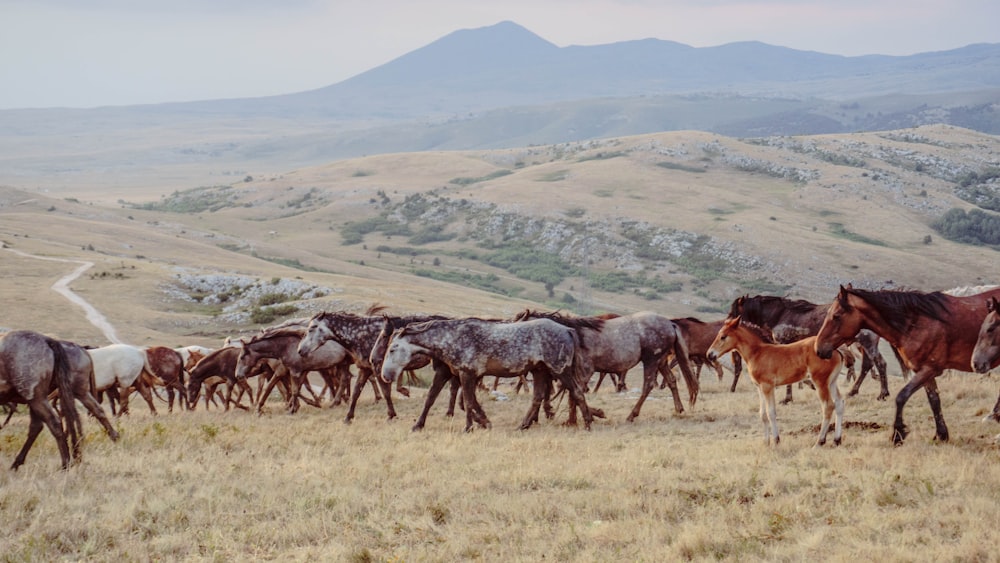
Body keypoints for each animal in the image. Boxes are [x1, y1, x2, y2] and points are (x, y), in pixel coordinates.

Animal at [376, 318, 592, 432]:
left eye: (393, 349)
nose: (385, 375)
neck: (452, 338)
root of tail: (567, 329)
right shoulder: (453, 374)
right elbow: (433, 398)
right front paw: (418, 426)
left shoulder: (466, 375)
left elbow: (468, 401)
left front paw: (472, 426)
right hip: (540, 371)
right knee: (538, 397)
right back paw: (522, 426)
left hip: (560, 371)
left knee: (577, 392)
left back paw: (588, 423)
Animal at [704, 318, 844, 446]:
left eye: (723, 336)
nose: (709, 354)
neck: (757, 353)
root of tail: (835, 350)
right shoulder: (759, 387)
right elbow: (762, 414)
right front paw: (766, 442)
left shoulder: (768, 386)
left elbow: (771, 412)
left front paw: (776, 440)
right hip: (831, 382)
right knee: (839, 403)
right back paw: (837, 440)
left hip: (820, 382)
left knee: (828, 406)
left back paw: (820, 442)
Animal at [816, 286, 1000, 446]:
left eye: (836, 316)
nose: (819, 348)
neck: (916, 322)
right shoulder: (924, 371)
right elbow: (934, 401)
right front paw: (941, 434)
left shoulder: (929, 370)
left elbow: (901, 396)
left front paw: (898, 434)